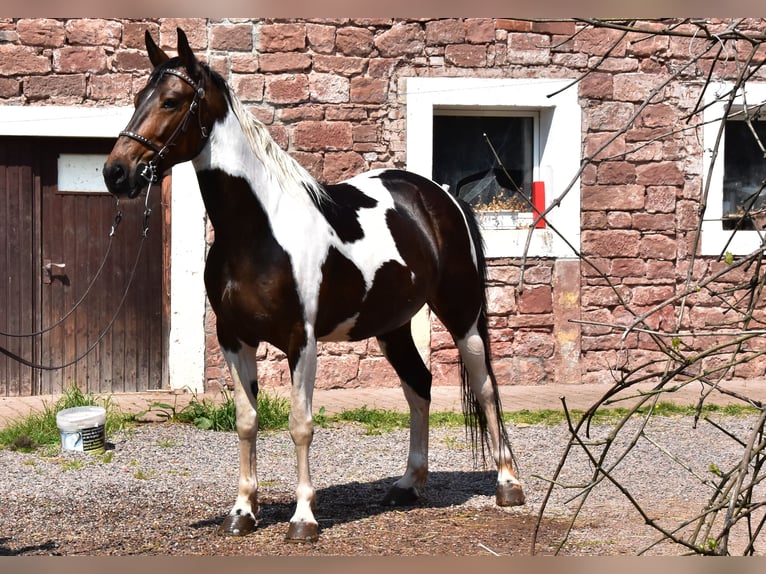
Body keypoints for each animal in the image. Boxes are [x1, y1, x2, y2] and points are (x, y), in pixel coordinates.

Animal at [103, 28, 525, 542]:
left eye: (171, 100)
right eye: (137, 99)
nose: (116, 172)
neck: (257, 232)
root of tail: (441, 196)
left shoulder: (300, 340)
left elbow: (300, 423)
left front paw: (303, 518)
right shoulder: (233, 338)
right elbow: (247, 421)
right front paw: (242, 511)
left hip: (462, 313)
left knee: (485, 388)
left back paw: (508, 484)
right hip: (392, 325)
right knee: (418, 386)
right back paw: (408, 484)